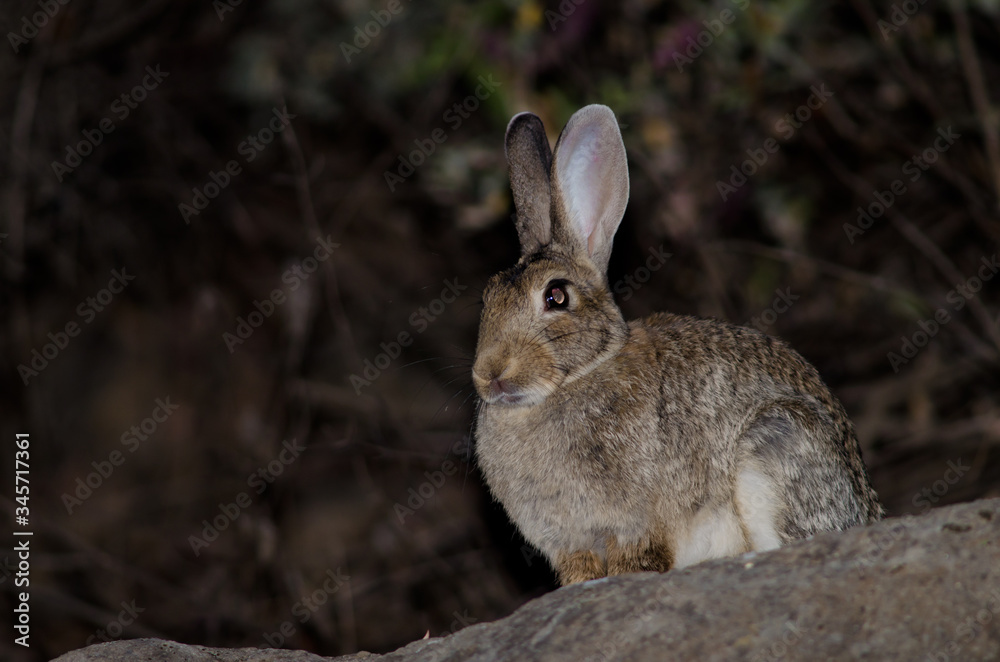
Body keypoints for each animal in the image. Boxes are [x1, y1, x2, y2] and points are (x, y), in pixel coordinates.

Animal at [472, 104, 884, 586]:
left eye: (556, 296)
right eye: (487, 299)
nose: (491, 373)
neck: (578, 376)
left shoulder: (634, 526)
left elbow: (635, 560)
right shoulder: (571, 544)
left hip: (775, 445)